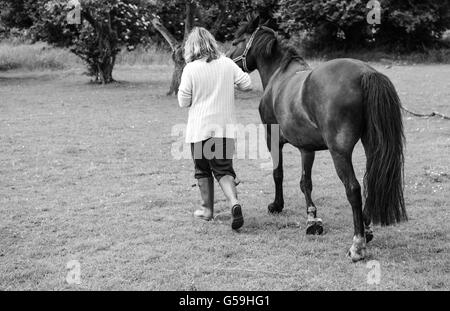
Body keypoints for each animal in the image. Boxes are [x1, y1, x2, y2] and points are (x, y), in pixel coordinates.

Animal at [229, 15, 408, 262]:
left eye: (235, 41)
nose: (226, 60)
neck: (279, 76)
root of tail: (365, 73)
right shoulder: (307, 148)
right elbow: (306, 182)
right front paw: (312, 219)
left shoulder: (272, 137)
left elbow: (278, 173)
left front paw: (277, 205)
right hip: (372, 145)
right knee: (371, 181)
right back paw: (367, 228)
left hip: (339, 152)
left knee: (353, 189)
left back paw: (358, 244)